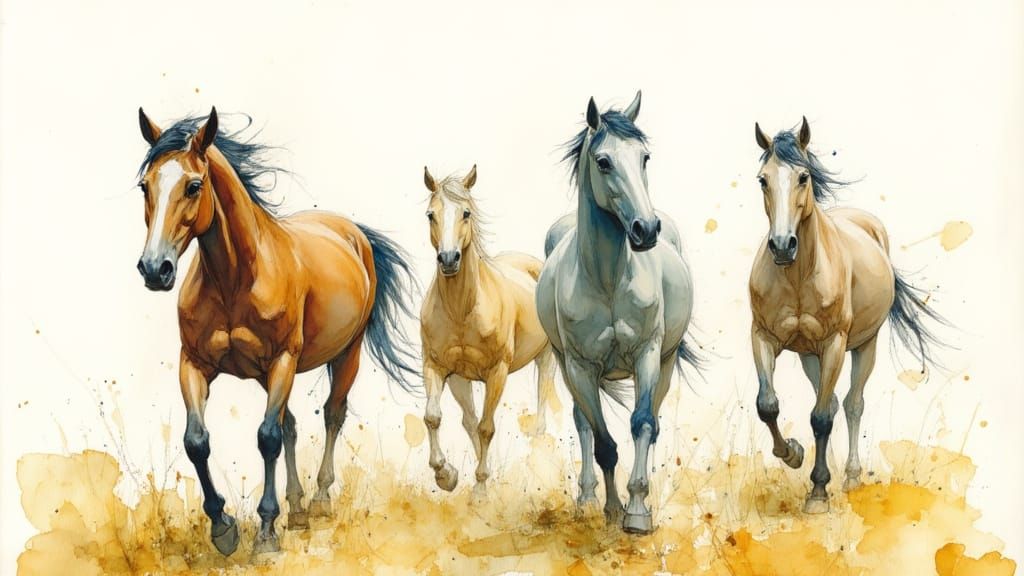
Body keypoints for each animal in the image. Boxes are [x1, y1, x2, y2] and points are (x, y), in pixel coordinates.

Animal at [134, 107, 419, 555]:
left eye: (194, 186)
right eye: (145, 186)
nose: (153, 269)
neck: (235, 280)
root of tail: (352, 231)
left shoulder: (282, 360)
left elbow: (266, 436)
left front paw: (266, 530)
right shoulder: (194, 364)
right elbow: (197, 440)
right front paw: (223, 526)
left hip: (346, 354)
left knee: (332, 415)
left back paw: (318, 502)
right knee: (291, 425)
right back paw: (297, 509)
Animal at [419, 165, 560, 496]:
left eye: (466, 213)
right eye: (431, 215)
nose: (448, 259)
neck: (462, 310)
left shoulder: (497, 372)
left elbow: (486, 427)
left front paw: (481, 490)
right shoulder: (440, 369)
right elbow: (437, 417)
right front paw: (446, 475)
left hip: (546, 355)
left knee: (542, 396)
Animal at [536, 92, 700, 534]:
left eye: (645, 157)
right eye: (604, 161)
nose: (646, 229)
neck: (608, 281)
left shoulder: (648, 353)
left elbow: (643, 423)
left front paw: (638, 511)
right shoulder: (580, 367)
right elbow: (603, 443)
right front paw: (611, 509)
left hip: (666, 361)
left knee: (652, 422)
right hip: (566, 366)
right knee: (583, 424)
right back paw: (588, 498)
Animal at [749, 117, 949, 513]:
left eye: (803, 177)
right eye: (763, 179)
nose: (782, 246)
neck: (798, 275)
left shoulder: (835, 343)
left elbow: (822, 418)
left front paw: (817, 493)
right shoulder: (762, 336)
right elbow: (768, 406)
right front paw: (792, 453)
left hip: (863, 346)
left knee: (852, 405)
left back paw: (852, 476)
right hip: (810, 356)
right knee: (830, 401)